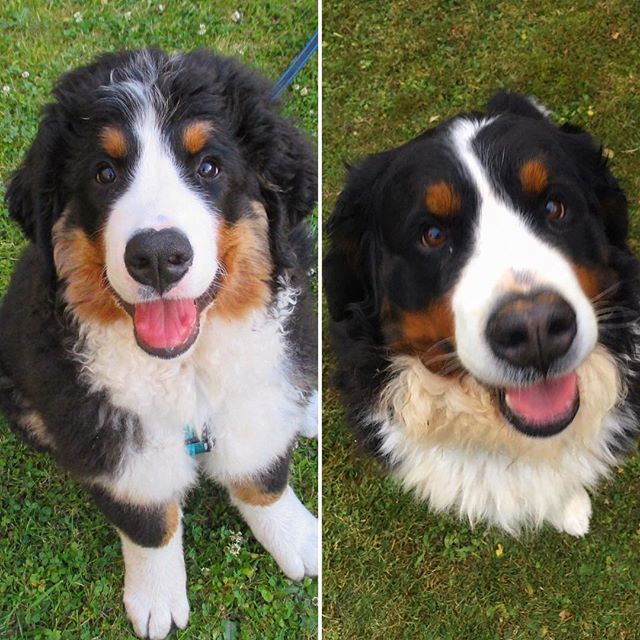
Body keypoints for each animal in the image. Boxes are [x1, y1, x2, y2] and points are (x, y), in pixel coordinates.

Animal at [0, 47, 318, 636]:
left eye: (208, 167)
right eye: (104, 174)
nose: (156, 256)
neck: (183, 367)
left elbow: (262, 474)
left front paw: (297, 536)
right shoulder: (114, 441)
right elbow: (147, 520)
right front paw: (156, 597)